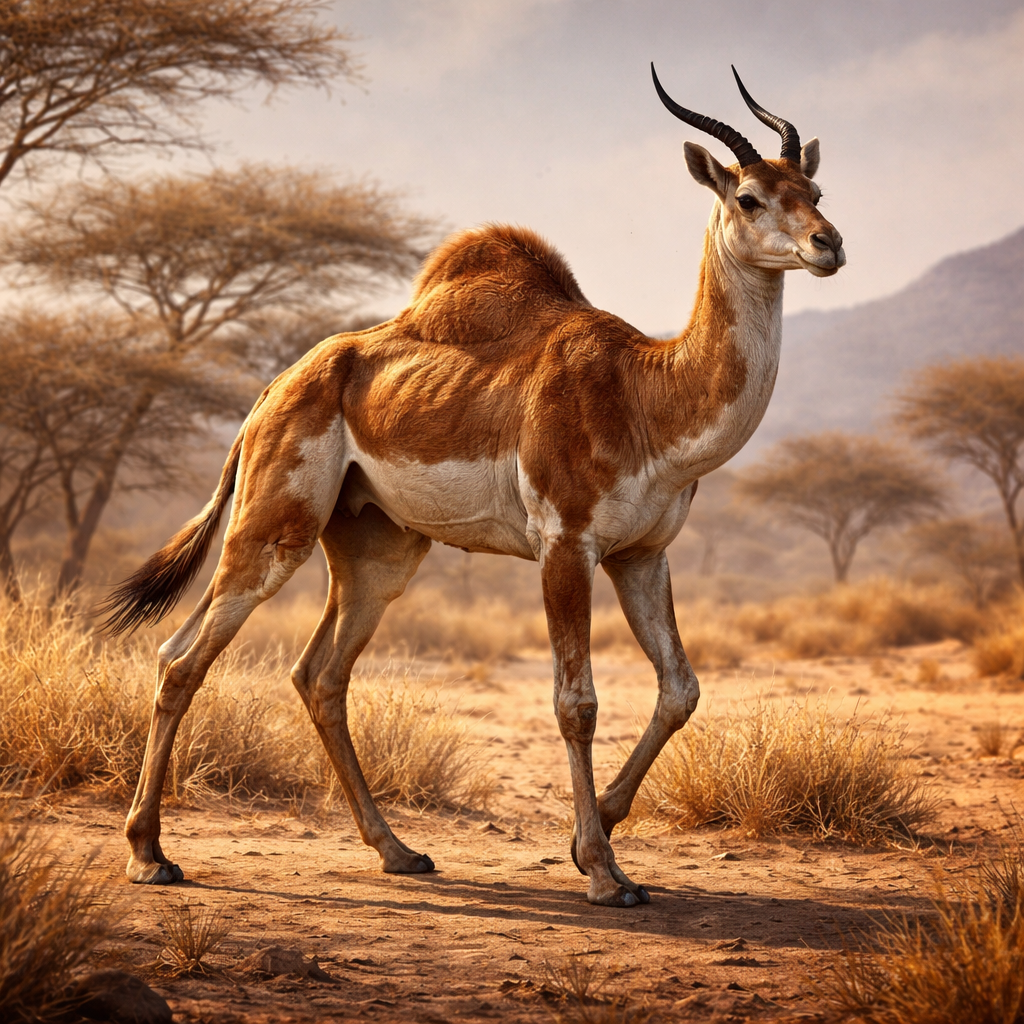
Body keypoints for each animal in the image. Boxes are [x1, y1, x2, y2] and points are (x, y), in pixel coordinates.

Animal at [105, 66, 845, 908]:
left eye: (814, 186)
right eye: (749, 196)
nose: (827, 244)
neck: (646, 392)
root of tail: (276, 388)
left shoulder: (641, 556)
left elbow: (680, 689)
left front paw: (591, 838)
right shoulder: (566, 547)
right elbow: (577, 703)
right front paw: (603, 871)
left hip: (379, 559)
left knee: (319, 675)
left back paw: (399, 851)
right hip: (271, 534)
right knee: (180, 657)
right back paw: (149, 855)